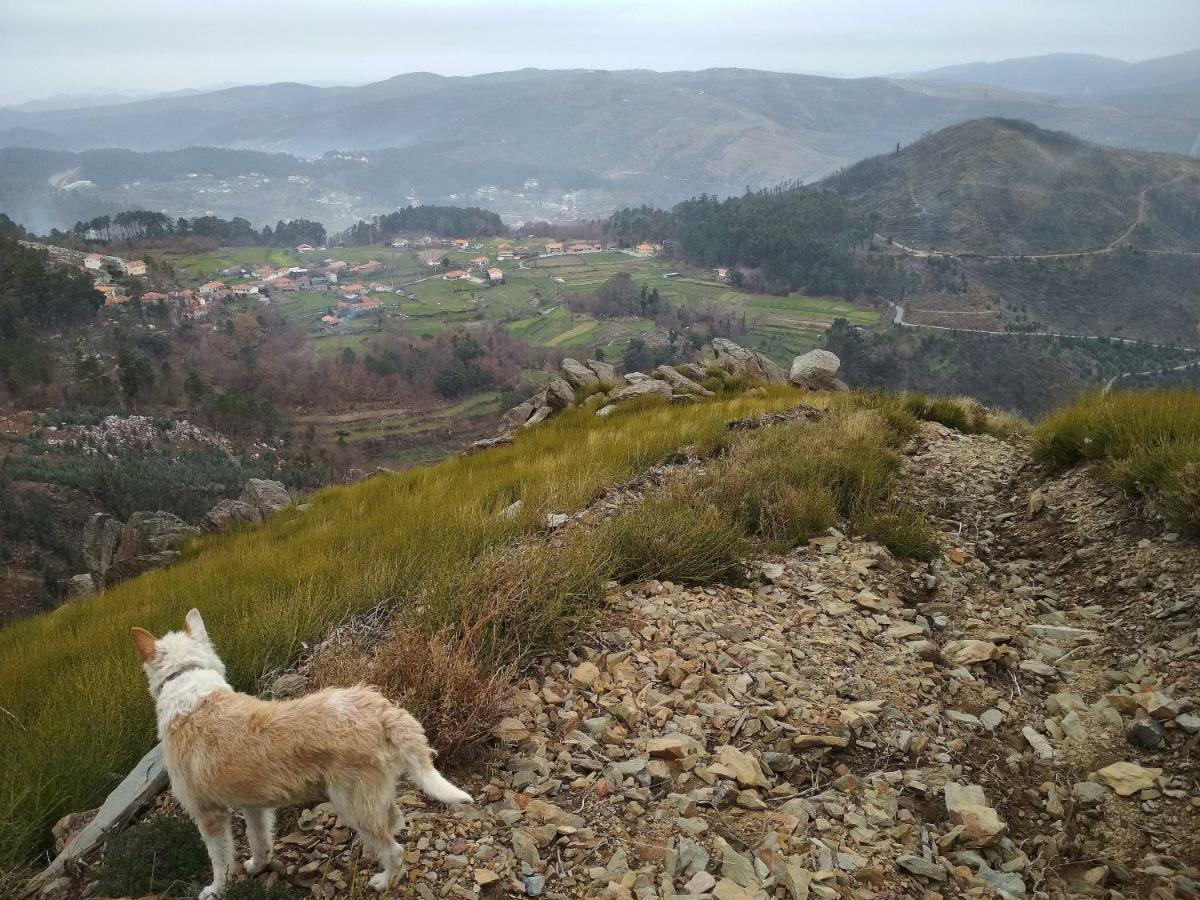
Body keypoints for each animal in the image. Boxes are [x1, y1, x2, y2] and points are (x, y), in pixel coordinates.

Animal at [131, 609, 468, 897]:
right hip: (370, 798)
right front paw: (257, 867)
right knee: (393, 821)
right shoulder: (253, 805)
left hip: (351, 804)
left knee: (393, 849)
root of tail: (381, 709)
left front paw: (217, 890)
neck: (186, 683)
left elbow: (220, 860)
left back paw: (385, 881)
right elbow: (259, 840)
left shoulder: (208, 813)